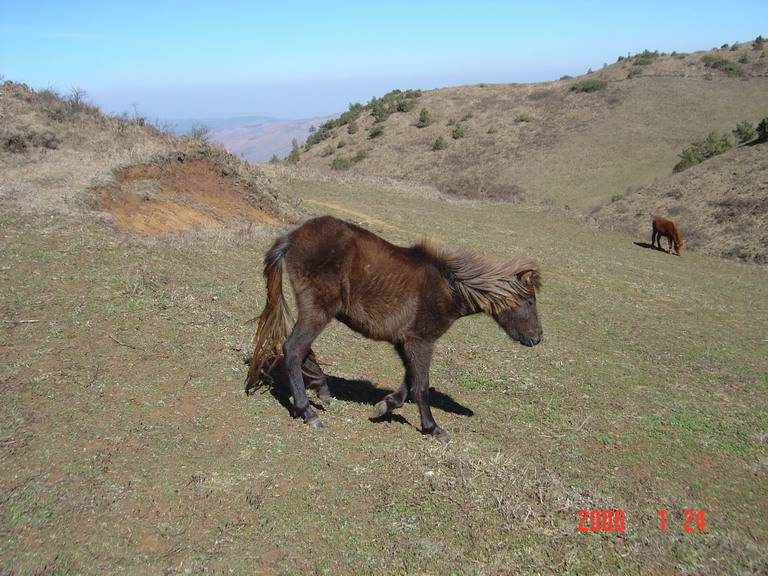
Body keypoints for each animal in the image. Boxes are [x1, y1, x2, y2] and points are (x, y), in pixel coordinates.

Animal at [244, 215, 540, 440]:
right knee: (293, 349)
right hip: (317, 310)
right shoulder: (421, 342)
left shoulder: (406, 343)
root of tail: (293, 236)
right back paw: (308, 411)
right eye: (529, 301)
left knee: (299, 350)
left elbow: (409, 383)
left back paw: (322, 390)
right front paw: (433, 429)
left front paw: (384, 406)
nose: (537, 338)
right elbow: (421, 386)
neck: (449, 288)